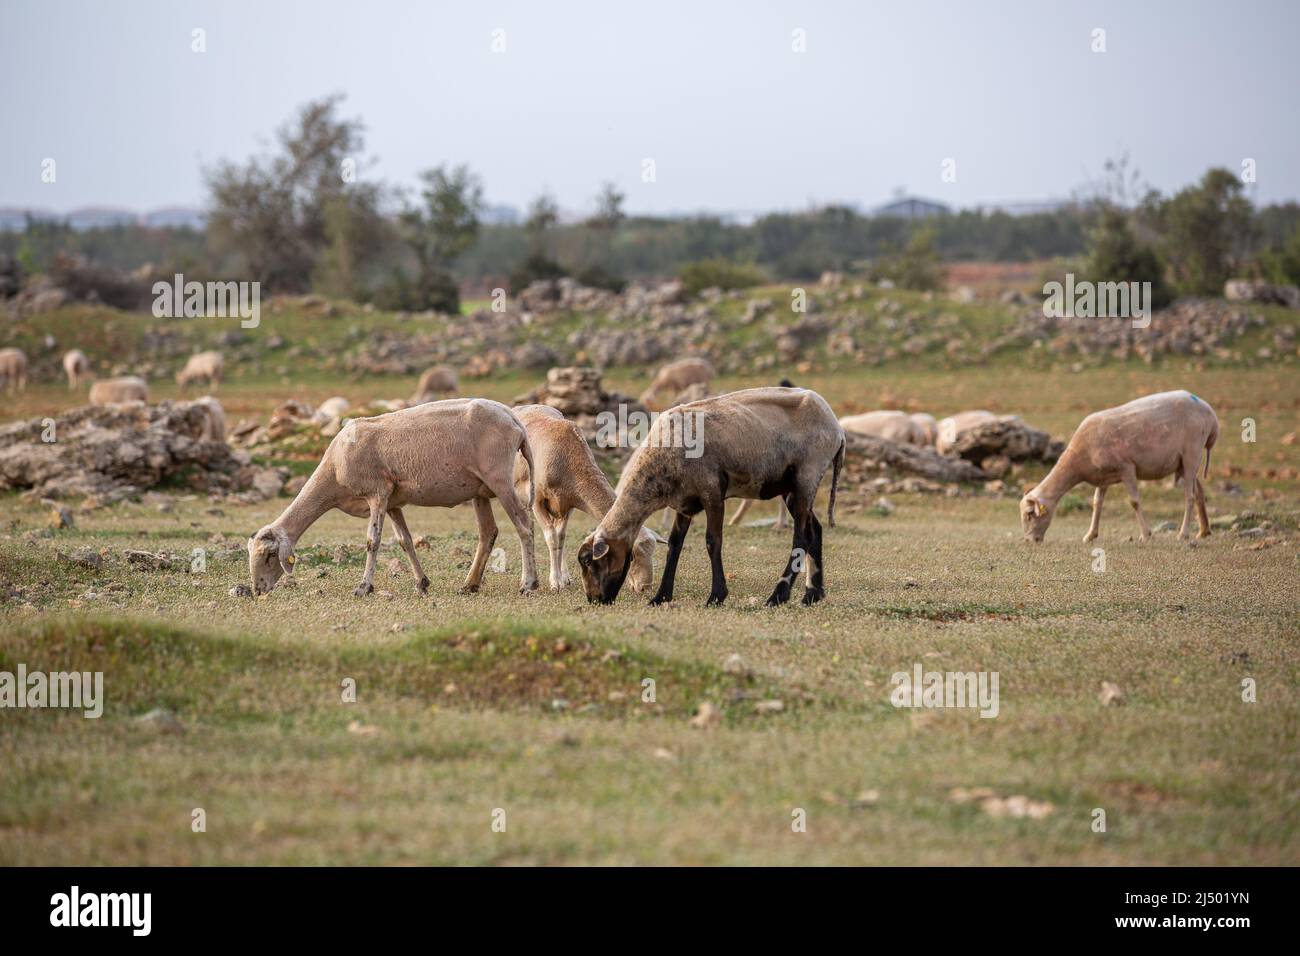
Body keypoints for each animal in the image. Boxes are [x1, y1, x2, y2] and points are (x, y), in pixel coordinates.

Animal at [248, 398, 537, 598]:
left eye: (270, 556)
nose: (258, 590)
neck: (334, 473)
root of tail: (515, 420)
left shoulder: (377, 494)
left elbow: (372, 541)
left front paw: (364, 587)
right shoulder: (393, 502)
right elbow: (405, 541)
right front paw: (421, 583)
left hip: (499, 478)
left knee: (524, 525)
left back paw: (528, 583)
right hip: (479, 489)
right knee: (488, 532)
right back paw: (470, 585)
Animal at [511, 404, 661, 592]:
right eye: (631, 556)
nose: (645, 588)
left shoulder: (568, 504)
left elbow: (560, 537)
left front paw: (562, 579)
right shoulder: (537, 501)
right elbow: (551, 538)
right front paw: (555, 582)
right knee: (525, 530)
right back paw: (526, 580)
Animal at [577, 387, 845, 607]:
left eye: (589, 562)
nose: (594, 600)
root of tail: (837, 428)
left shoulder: (712, 492)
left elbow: (712, 541)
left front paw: (716, 596)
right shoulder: (684, 503)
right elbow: (675, 545)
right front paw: (661, 597)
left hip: (807, 475)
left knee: (800, 538)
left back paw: (778, 596)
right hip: (791, 488)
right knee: (815, 531)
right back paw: (812, 594)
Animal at [1020, 390, 1219, 544]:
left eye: (1030, 514)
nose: (1030, 541)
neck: (1077, 462)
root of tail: (1210, 413)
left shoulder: (1127, 468)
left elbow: (1134, 501)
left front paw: (1146, 535)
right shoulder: (1103, 477)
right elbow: (1097, 503)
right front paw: (1090, 535)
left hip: (1191, 452)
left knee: (1189, 496)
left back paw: (1183, 534)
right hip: (1183, 462)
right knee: (1198, 491)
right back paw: (1203, 531)